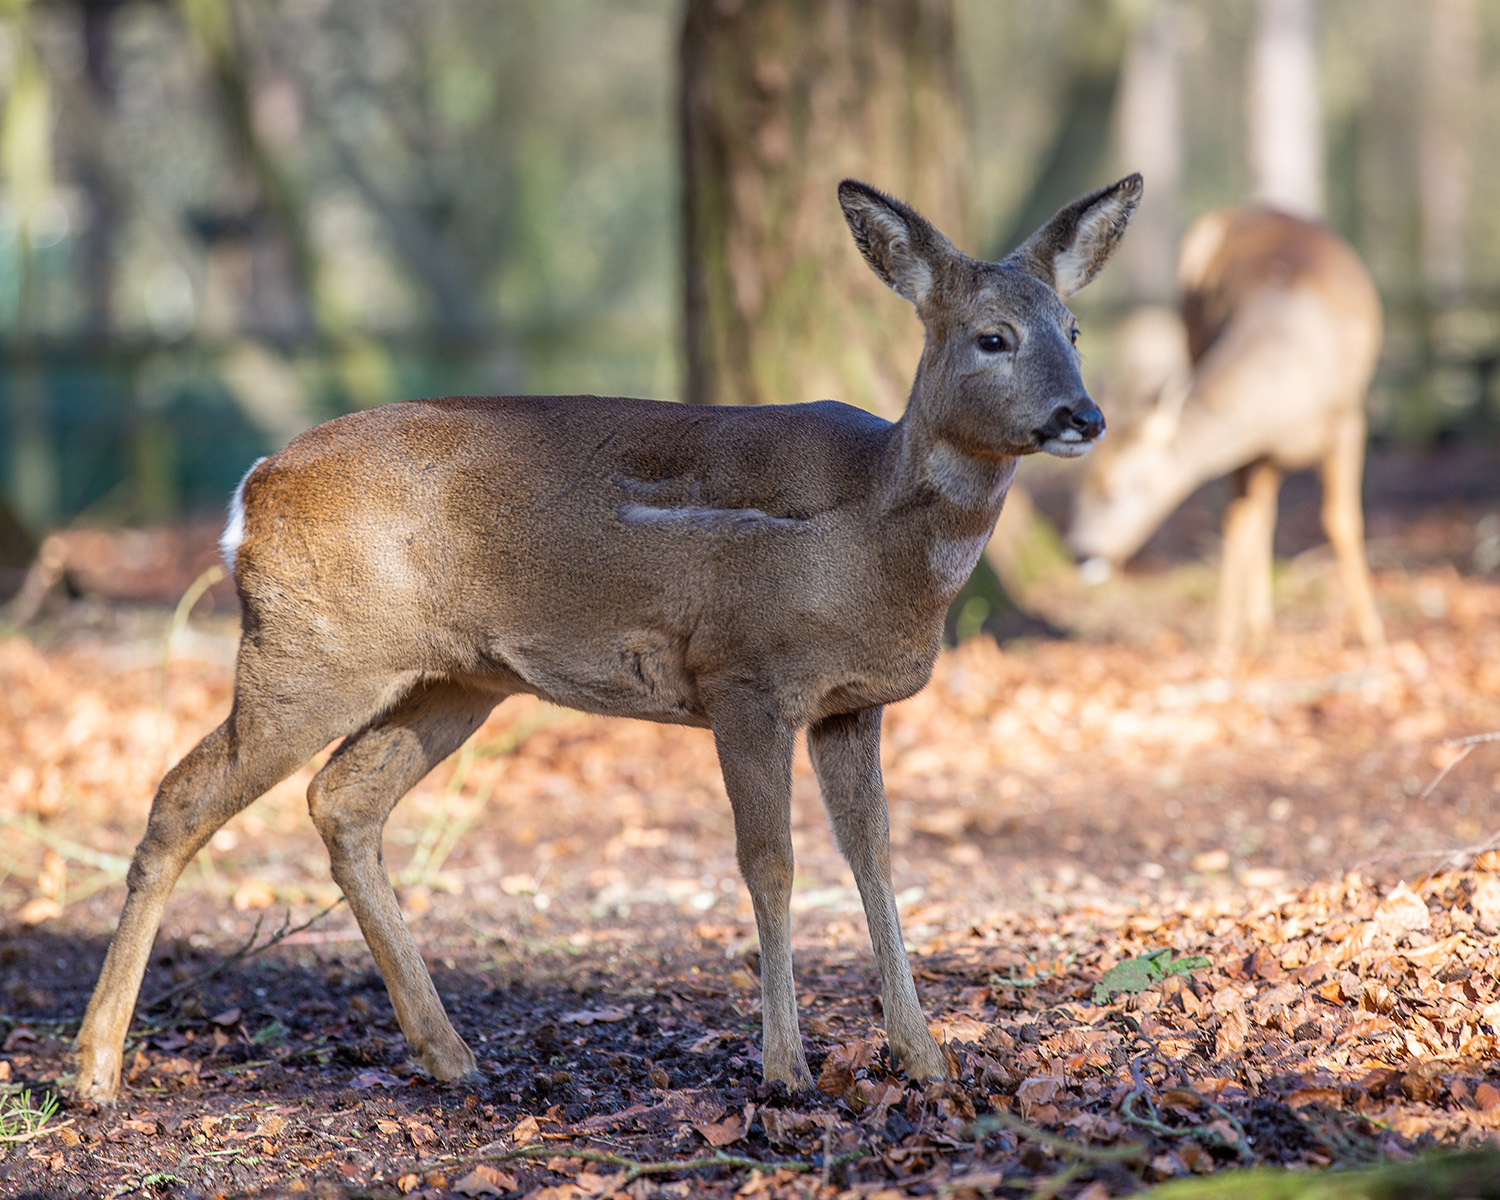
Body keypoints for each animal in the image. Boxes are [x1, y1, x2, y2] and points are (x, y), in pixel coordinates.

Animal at [72, 173, 1141, 1104]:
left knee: (342, 798)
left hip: (456, 678)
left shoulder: (852, 704)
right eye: (993, 336)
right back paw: (94, 1073)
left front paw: (924, 1059)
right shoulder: (742, 675)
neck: (872, 535)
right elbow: (771, 863)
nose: (1083, 415)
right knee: (182, 794)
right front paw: (785, 1070)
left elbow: (875, 857)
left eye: (1076, 330)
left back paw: (450, 1055)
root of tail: (248, 494)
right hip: (310, 650)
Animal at [1068, 206, 1386, 653]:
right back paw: (1258, 626)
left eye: (1114, 488)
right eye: (1080, 482)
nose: (1078, 552)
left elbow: (1342, 520)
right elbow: (1237, 521)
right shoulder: (1251, 445)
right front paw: (1223, 640)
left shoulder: (1349, 418)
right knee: (1259, 513)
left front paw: (1373, 635)